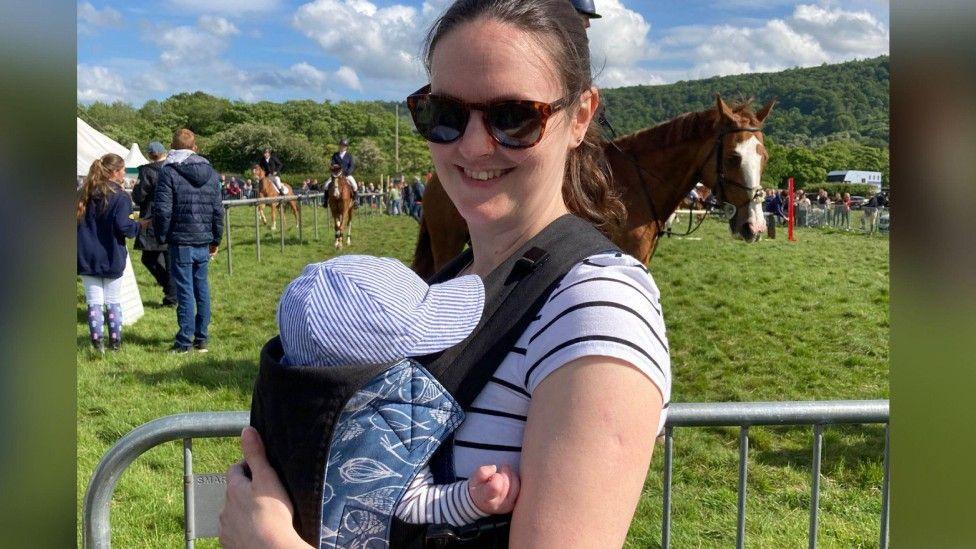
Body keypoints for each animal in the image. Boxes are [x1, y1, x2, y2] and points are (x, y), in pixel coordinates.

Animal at [408, 95, 772, 278]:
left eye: (764, 156)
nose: (754, 227)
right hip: (447, 243)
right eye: (734, 157)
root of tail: (435, 179)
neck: (636, 185)